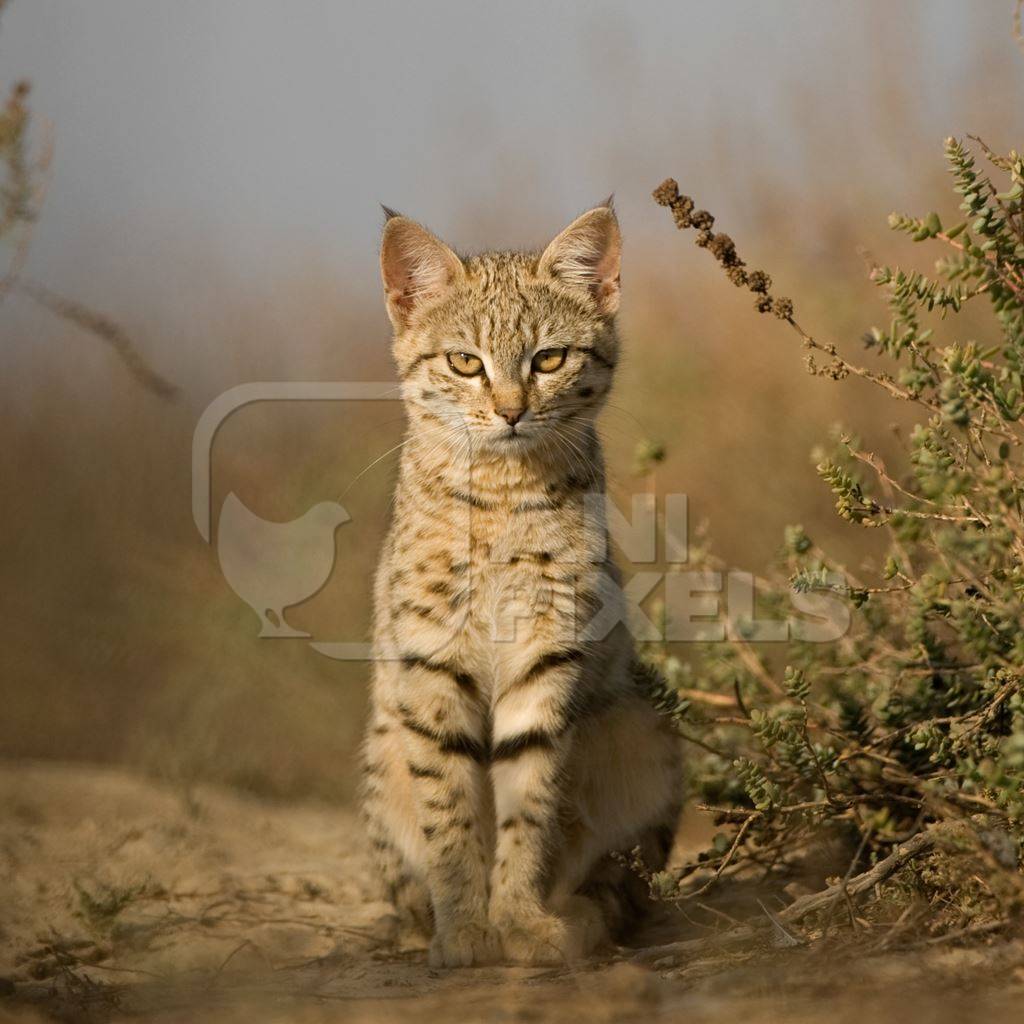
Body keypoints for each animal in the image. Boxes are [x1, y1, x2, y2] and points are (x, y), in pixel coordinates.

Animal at [360, 201, 679, 966]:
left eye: (550, 360)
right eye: (465, 363)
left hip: (646, 723)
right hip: (381, 755)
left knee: (625, 878)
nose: (509, 411)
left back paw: (579, 915)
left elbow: (528, 804)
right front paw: (464, 930)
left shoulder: (547, 655)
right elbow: (449, 813)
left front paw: (519, 921)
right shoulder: (431, 663)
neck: (504, 492)